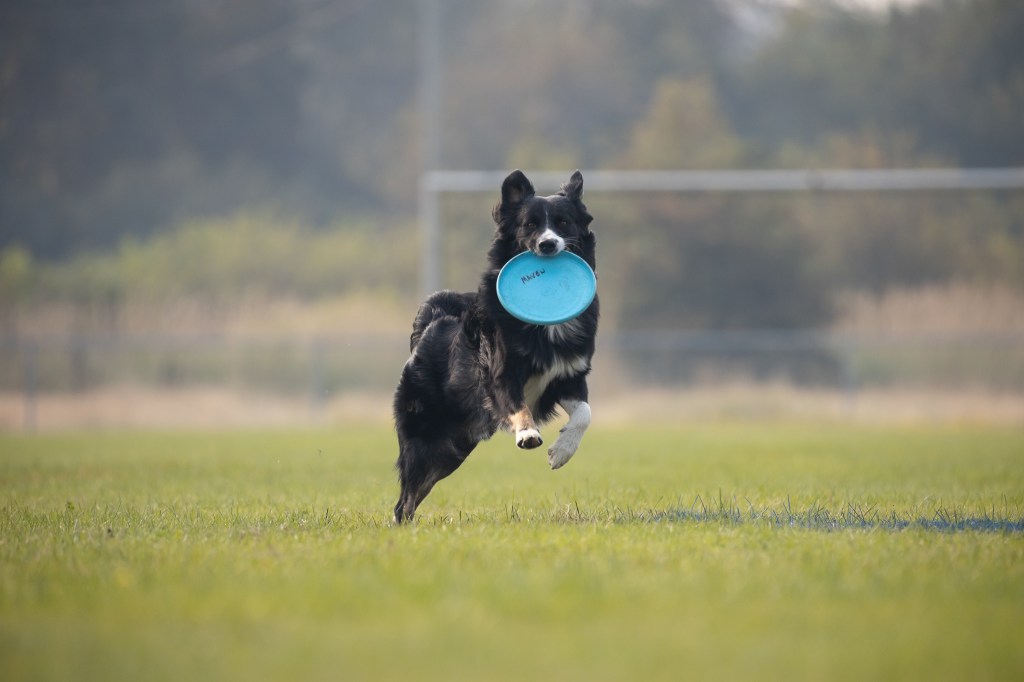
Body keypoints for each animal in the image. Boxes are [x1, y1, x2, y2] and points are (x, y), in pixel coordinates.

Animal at [392, 170, 598, 523]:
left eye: (563, 223)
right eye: (529, 224)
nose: (547, 244)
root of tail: (433, 321)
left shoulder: (569, 375)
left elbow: (584, 413)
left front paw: (561, 452)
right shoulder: (501, 371)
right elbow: (517, 404)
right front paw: (528, 434)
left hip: (453, 448)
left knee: (414, 494)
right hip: (426, 439)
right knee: (405, 497)